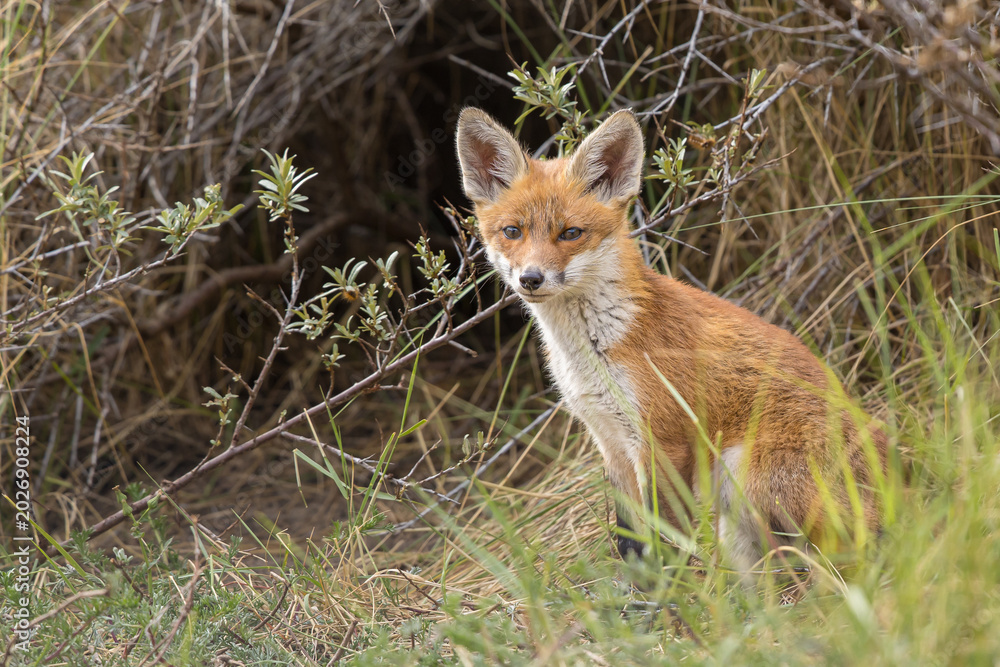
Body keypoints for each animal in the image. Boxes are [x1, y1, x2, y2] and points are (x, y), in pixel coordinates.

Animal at [455, 107, 888, 573]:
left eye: (570, 233)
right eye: (512, 231)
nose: (531, 279)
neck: (595, 350)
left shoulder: (663, 441)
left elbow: (664, 539)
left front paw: (671, 591)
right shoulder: (609, 439)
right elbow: (629, 541)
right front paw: (637, 590)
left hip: (743, 475)